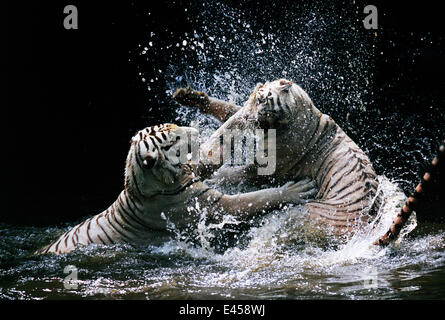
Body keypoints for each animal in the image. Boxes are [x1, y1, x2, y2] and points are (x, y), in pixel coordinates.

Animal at [37, 123, 316, 255]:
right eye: (175, 139)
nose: (195, 130)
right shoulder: (209, 205)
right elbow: (253, 199)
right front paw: (297, 190)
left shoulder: (195, 170)